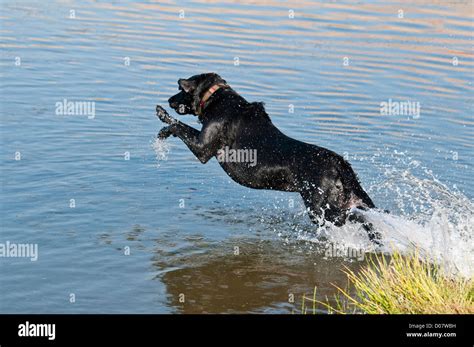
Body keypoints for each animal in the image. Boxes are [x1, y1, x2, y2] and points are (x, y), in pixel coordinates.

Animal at [158, 73, 378, 237]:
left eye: (180, 90)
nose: (169, 100)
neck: (215, 98)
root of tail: (339, 163)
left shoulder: (202, 148)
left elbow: (178, 125)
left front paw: (162, 117)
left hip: (321, 208)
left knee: (355, 218)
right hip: (345, 199)